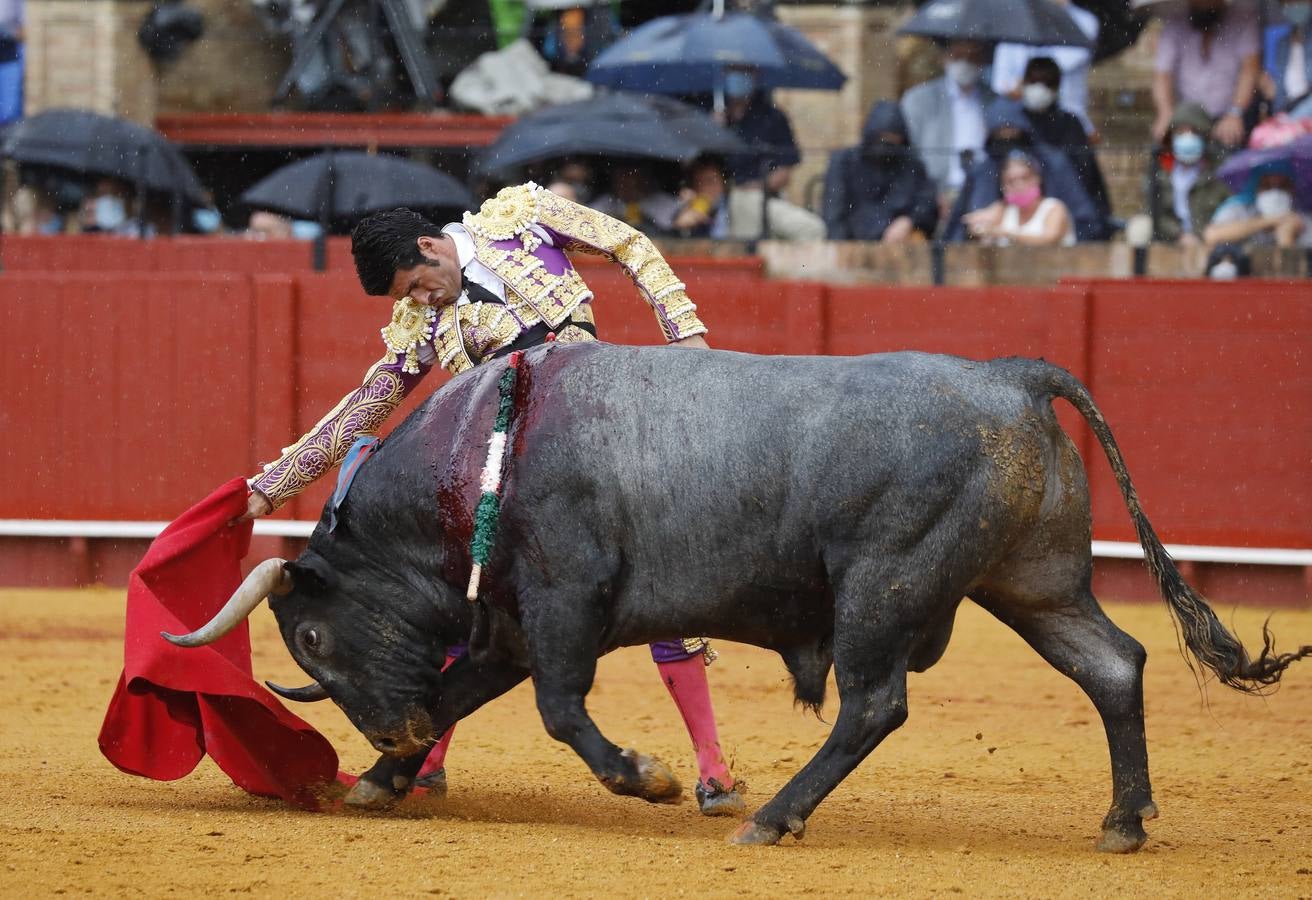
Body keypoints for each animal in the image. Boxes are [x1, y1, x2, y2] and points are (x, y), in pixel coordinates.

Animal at [166, 341, 1312, 850]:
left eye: (314, 637)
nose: (386, 730)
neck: (482, 451)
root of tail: (1017, 376)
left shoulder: (566, 599)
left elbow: (562, 711)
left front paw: (647, 778)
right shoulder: (510, 627)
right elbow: (466, 691)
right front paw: (379, 781)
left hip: (883, 586)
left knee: (872, 704)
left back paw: (770, 817)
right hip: (1033, 587)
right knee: (1113, 665)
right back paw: (1123, 821)